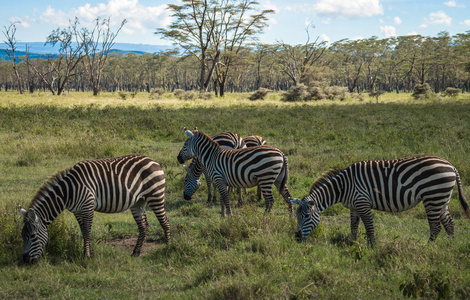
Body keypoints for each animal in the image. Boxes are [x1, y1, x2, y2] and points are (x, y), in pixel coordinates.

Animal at [20, 155, 171, 262]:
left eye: (32, 236)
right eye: (22, 236)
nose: (25, 260)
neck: (68, 192)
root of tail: (153, 160)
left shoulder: (88, 206)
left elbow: (87, 231)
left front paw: (86, 256)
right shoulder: (78, 211)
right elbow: (83, 231)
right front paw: (87, 252)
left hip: (155, 195)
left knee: (165, 222)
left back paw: (168, 248)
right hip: (138, 202)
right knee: (143, 226)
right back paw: (136, 253)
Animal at [292, 155, 468, 246]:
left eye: (306, 216)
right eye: (297, 216)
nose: (297, 238)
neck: (343, 187)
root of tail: (451, 165)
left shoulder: (362, 202)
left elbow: (369, 227)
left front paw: (373, 247)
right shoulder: (354, 207)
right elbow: (353, 227)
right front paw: (353, 244)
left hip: (432, 197)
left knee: (436, 226)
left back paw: (428, 247)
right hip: (441, 199)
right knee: (449, 223)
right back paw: (450, 246)